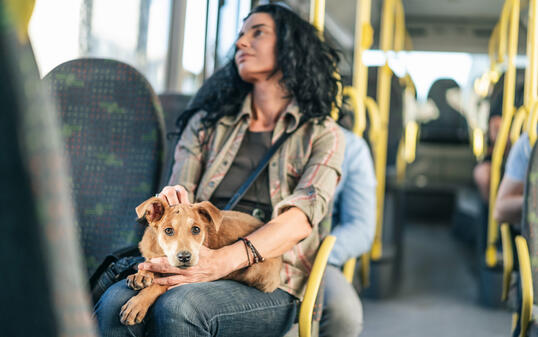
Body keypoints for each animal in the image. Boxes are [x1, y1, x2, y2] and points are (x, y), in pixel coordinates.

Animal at [119, 198, 280, 324]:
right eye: (168, 231)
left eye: (196, 229)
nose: (184, 257)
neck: (161, 252)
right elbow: (149, 263)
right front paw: (141, 274)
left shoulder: (183, 276)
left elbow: (158, 285)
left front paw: (137, 304)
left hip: (259, 272)